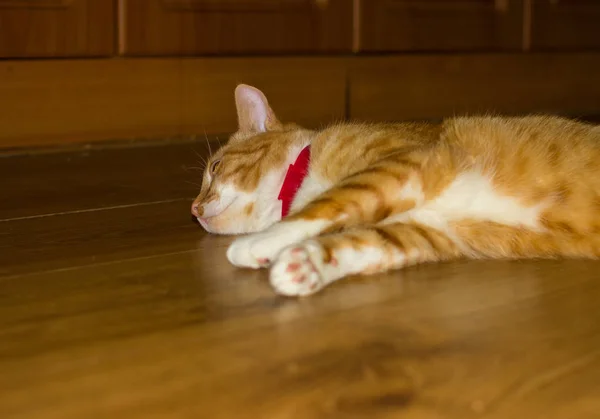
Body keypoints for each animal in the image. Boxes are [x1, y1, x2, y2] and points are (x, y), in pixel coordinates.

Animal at [191, 83, 600, 296]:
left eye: (214, 168)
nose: (193, 209)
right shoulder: (424, 232)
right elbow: (361, 244)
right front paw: (307, 265)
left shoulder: (403, 162)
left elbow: (328, 203)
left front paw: (258, 244)